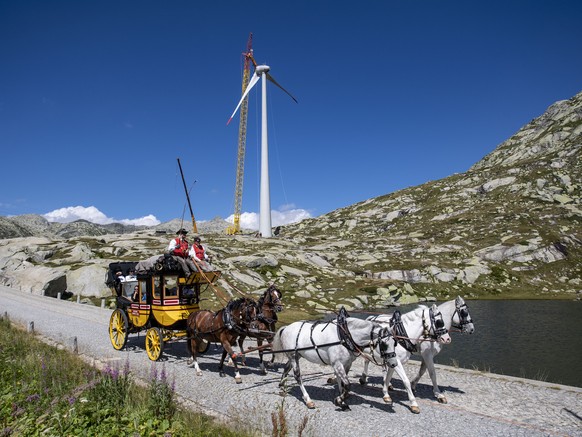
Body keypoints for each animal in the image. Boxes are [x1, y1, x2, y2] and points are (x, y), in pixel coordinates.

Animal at [272, 306, 422, 412]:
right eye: (383, 344)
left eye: (395, 343)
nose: (393, 363)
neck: (344, 335)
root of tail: (286, 328)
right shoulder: (337, 363)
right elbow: (348, 384)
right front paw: (340, 400)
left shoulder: (345, 363)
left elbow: (343, 383)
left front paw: (341, 399)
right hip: (293, 356)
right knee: (298, 376)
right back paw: (308, 400)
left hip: (296, 355)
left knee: (286, 367)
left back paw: (282, 386)